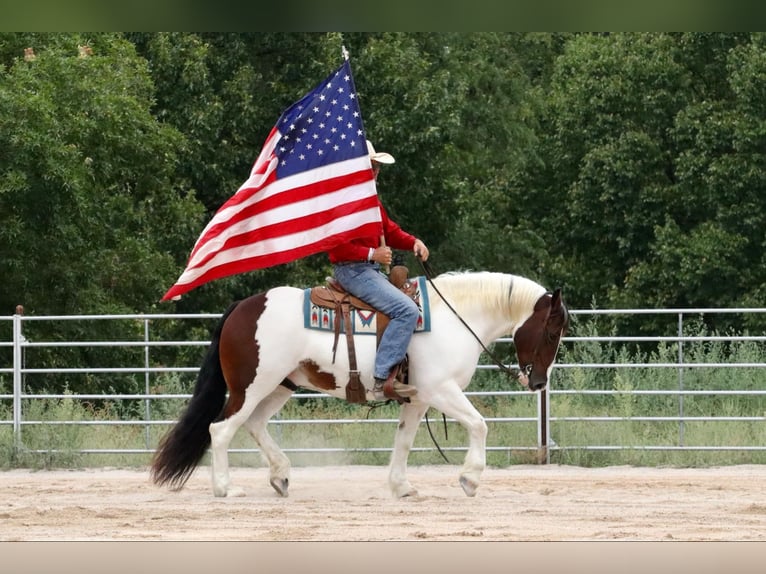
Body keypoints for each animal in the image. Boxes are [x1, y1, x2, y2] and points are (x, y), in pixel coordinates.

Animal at [152, 270, 568, 500]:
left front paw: (401, 487)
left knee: (254, 425)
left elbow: (404, 442)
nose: (538, 381)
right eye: (551, 332)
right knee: (221, 430)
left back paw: (281, 475)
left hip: (280, 385)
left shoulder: (417, 400)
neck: (455, 317)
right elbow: (479, 425)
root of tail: (242, 307)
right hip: (250, 387)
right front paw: (469, 478)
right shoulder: (440, 390)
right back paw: (225, 487)